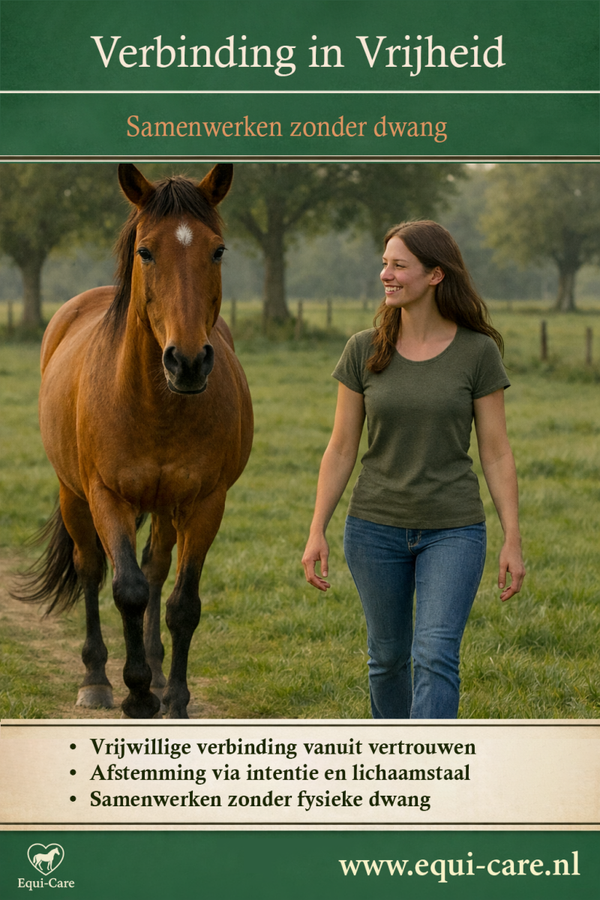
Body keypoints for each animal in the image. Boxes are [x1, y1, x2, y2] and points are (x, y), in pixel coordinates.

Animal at [16, 163, 253, 718]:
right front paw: (136, 693)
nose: (187, 361)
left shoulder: (206, 502)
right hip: (74, 495)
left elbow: (182, 604)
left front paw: (174, 698)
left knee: (158, 569)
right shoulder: (107, 496)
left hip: (167, 507)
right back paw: (96, 678)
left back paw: (160, 672)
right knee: (90, 569)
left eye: (218, 250)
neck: (154, 404)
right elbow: (127, 589)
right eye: (146, 251)